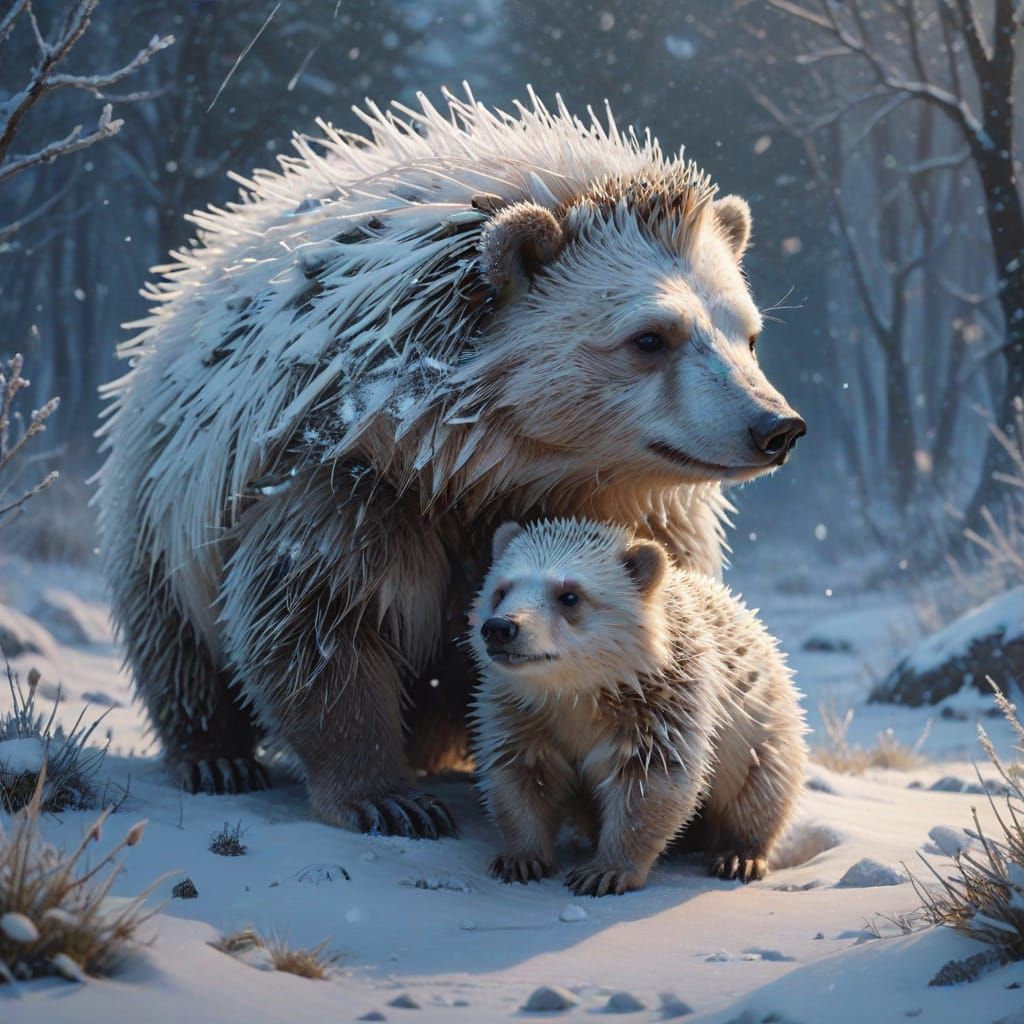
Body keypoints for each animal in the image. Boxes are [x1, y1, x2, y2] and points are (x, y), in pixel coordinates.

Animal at [95, 87, 805, 836]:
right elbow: (318, 619)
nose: (775, 427)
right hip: (159, 492)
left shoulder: (633, 507)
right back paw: (214, 756)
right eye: (650, 337)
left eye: (747, 332)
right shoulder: (345, 477)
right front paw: (386, 796)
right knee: (173, 636)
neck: (482, 459)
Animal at [469, 518, 807, 894]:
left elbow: (652, 785)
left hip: (764, 725)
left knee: (760, 787)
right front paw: (520, 859)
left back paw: (740, 856)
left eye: (569, 596)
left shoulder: (666, 704)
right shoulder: (521, 713)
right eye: (500, 590)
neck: (581, 694)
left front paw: (604, 872)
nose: (500, 628)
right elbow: (521, 775)